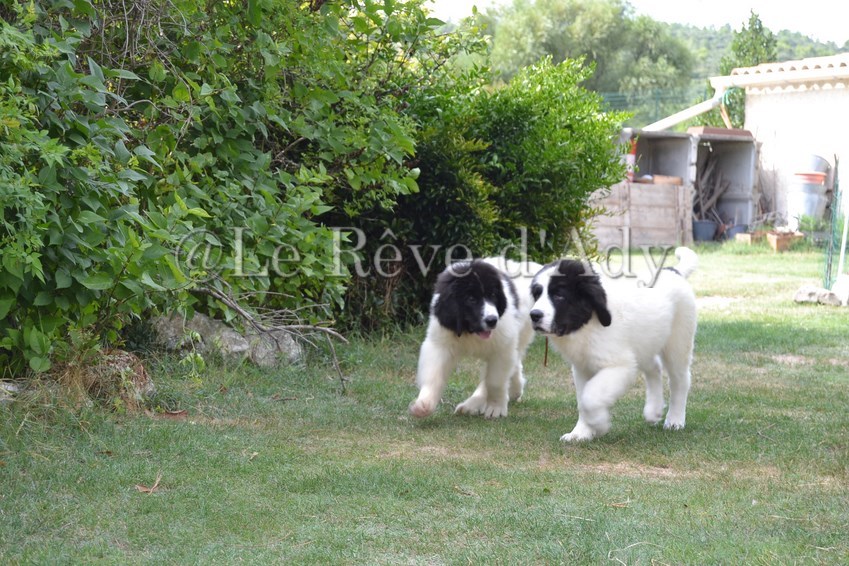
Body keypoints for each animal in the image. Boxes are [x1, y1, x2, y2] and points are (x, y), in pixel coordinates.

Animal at [409, 257, 542, 419]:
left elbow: (494, 381)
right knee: (514, 361)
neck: (470, 332)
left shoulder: (502, 347)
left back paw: (474, 403)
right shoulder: (440, 341)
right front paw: (424, 403)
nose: (492, 320)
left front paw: (495, 407)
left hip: (522, 331)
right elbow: (433, 374)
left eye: (493, 295)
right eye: (471, 299)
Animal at [529, 247, 698, 441]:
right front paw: (581, 432)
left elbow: (590, 397)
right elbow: (582, 399)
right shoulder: (582, 368)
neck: (588, 323)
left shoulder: (620, 366)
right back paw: (653, 411)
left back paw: (675, 420)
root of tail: (672, 270)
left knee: (680, 379)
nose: (534, 315)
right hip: (644, 342)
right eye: (537, 295)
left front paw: (599, 424)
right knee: (654, 368)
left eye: (559, 295)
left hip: (678, 341)